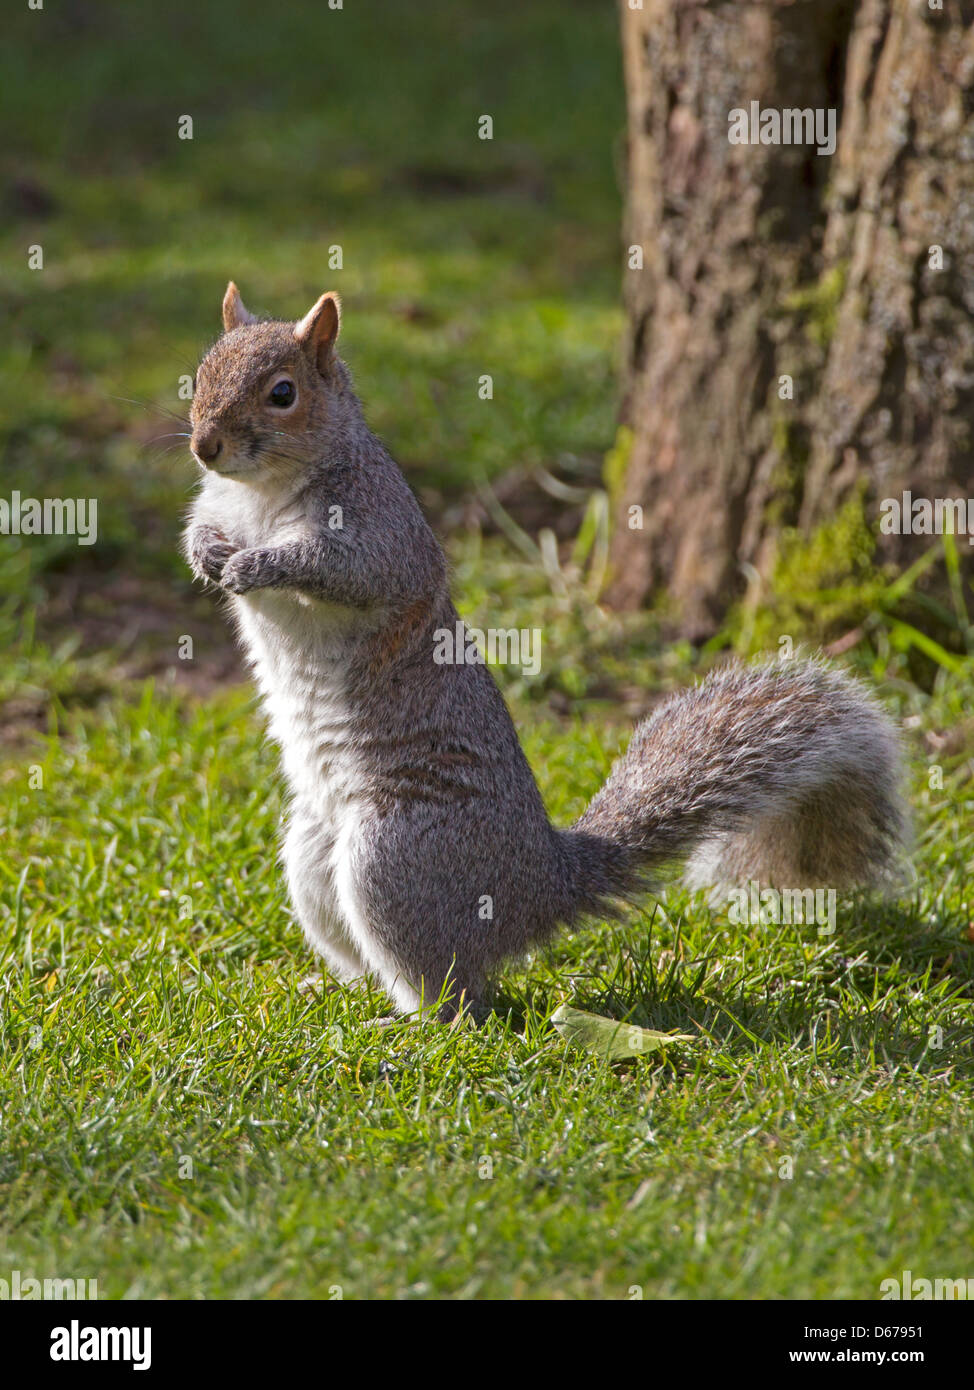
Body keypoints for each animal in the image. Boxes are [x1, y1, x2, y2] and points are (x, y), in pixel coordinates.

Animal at [186, 282, 905, 1023]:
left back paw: (408, 1022)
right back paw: (334, 991)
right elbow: (204, 528)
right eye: (202, 372)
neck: (261, 493)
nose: (205, 445)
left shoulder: (377, 532)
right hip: (313, 849)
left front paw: (257, 565)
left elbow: (343, 570)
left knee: (458, 994)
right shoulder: (221, 504)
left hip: (394, 856)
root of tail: (541, 889)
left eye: (282, 393)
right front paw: (208, 554)